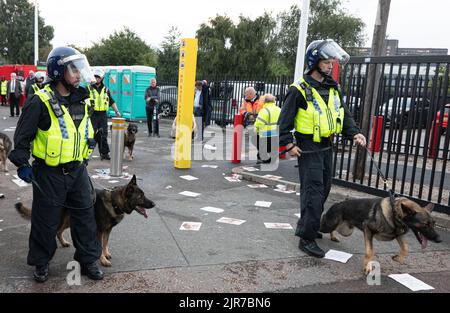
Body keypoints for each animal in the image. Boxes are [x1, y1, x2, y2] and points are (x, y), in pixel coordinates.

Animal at [14, 174, 156, 264]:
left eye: (143, 195)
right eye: (140, 197)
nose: (154, 204)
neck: (114, 202)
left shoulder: (107, 230)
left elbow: (105, 243)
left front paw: (106, 254)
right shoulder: (99, 231)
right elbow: (100, 245)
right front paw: (102, 260)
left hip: (69, 221)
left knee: (59, 232)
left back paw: (63, 243)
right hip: (59, 220)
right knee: (51, 231)